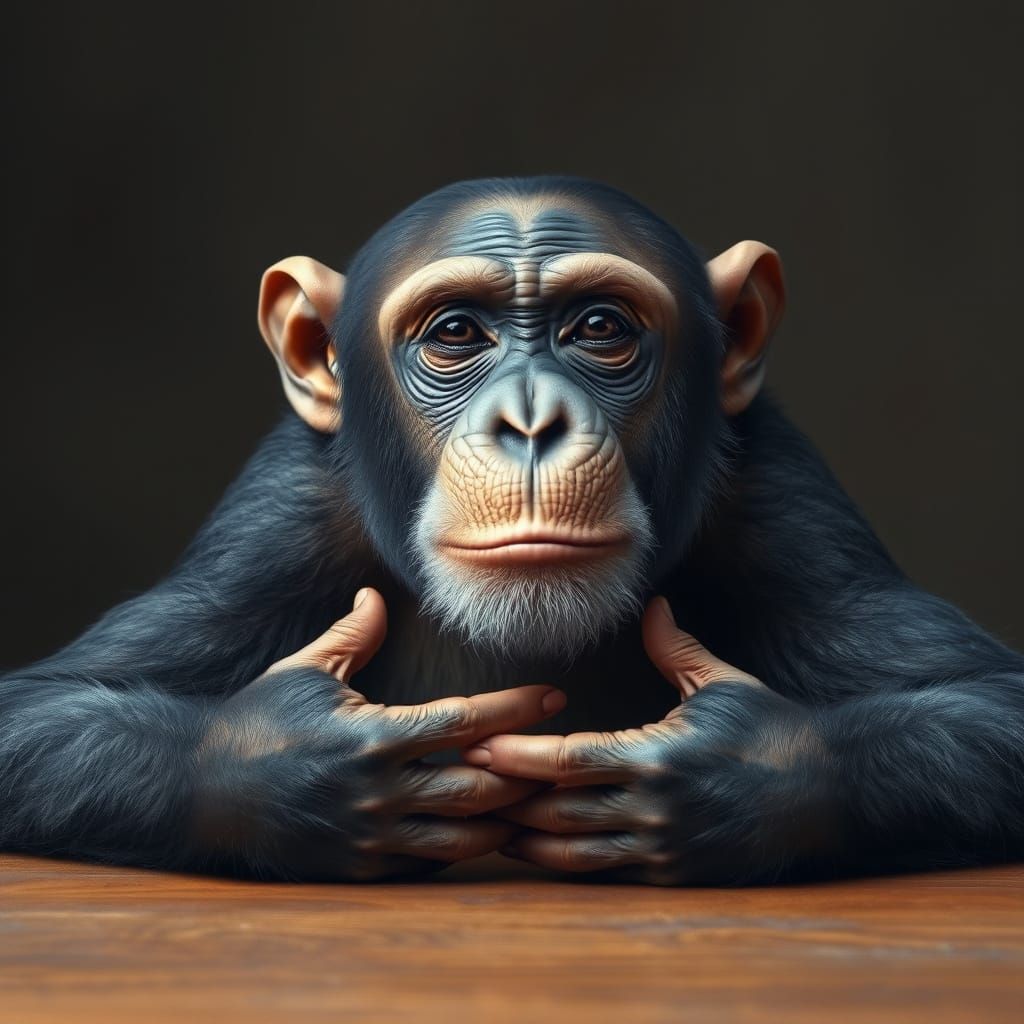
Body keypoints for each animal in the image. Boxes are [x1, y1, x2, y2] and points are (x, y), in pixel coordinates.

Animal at [2, 176, 1021, 884]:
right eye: (456, 333)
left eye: (600, 327)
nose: (532, 422)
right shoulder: (277, 517)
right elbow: (45, 707)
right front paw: (295, 767)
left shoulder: (781, 501)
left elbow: (987, 703)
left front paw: (735, 772)